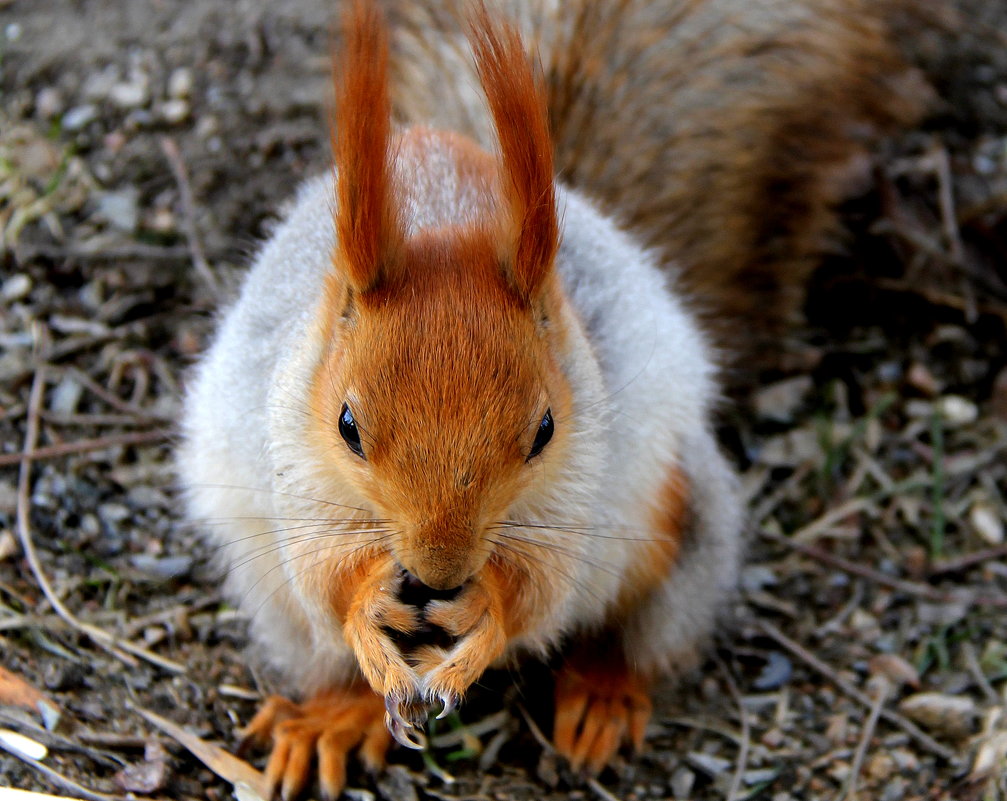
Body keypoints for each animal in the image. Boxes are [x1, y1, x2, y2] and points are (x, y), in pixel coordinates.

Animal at [177, 0, 930, 797]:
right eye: (346, 425)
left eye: (544, 429)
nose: (440, 570)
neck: (446, 219)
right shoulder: (296, 467)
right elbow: (326, 577)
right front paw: (369, 617)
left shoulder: (575, 489)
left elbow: (540, 592)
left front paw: (485, 619)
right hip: (265, 585)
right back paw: (335, 714)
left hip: (675, 519)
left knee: (633, 630)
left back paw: (602, 694)